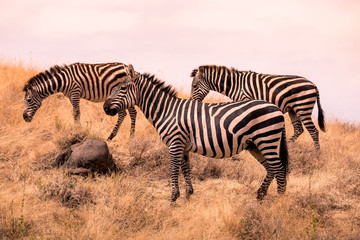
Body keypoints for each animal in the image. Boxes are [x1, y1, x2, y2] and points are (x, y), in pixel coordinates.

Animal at [102, 72, 288, 202]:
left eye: (123, 89)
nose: (105, 107)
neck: (166, 111)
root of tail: (276, 108)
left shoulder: (175, 143)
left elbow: (173, 169)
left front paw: (173, 199)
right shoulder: (183, 145)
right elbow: (186, 169)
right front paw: (188, 196)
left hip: (266, 140)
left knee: (279, 169)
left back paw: (280, 201)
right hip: (255, 144)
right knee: (271, 168)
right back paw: (260, 195)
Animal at [191, 65, 326, 150]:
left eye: (194, 86)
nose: (192, 101)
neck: (235, 84)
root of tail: (313, 84)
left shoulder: (245, 99)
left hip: (303, 107)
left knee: (313, 131)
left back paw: (317, 155)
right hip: (293, 109)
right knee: (299, 129)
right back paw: (288, 147)